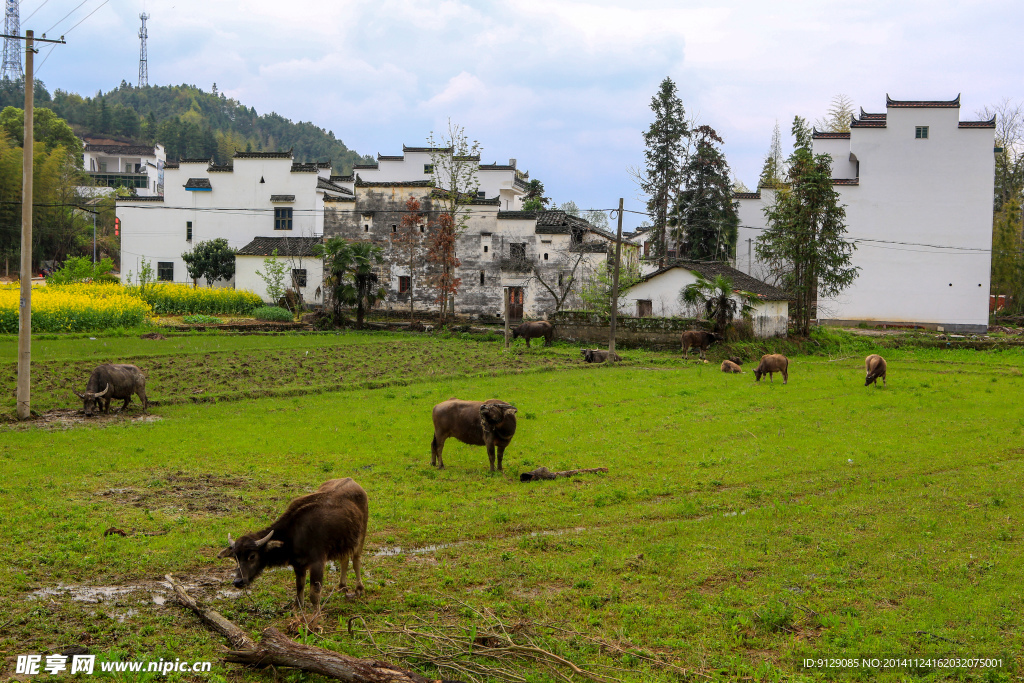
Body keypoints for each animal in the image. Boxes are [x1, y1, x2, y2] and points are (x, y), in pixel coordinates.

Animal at [218, 479, 370, 610]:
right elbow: (299, 587)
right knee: (344, 559)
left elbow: (314, 595)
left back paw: (359, 589)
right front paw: (298, 607)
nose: (238, 581)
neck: (295, 534)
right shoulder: (298, 565)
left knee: (356, 560)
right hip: (345, 542)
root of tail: (353, 482)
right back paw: (342, 587)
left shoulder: (318, 564)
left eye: (252, 556)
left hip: (361, 536)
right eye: (236, 557)